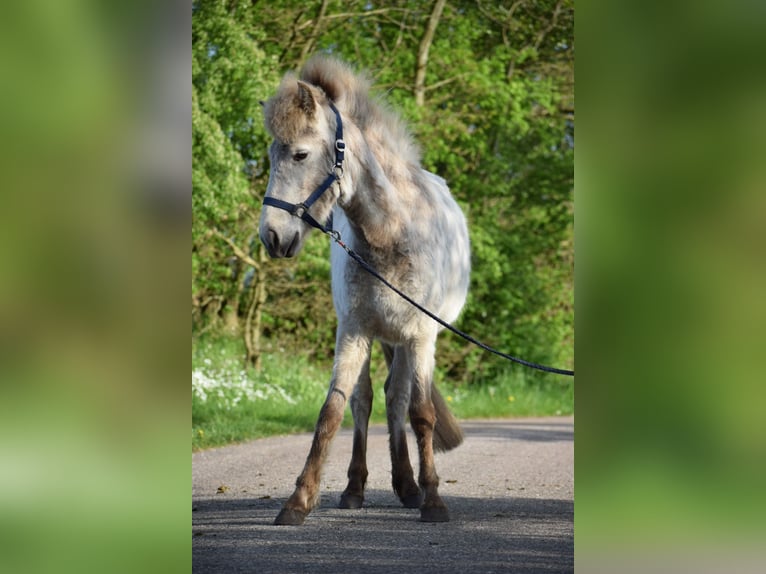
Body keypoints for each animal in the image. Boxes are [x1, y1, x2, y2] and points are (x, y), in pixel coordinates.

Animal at [260, 56, 472, 528]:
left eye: (300, 154)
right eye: (271, 155)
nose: (272, 236)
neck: (391, 232)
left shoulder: (420, 336)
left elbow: (421, 413)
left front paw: (433, 500)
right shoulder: (354, 331)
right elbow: (333, 411)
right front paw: (299, 500)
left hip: (404, 341)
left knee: (399, 401)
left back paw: (410, 486)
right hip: (377, 338)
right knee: (369, 400)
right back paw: (360, 488)